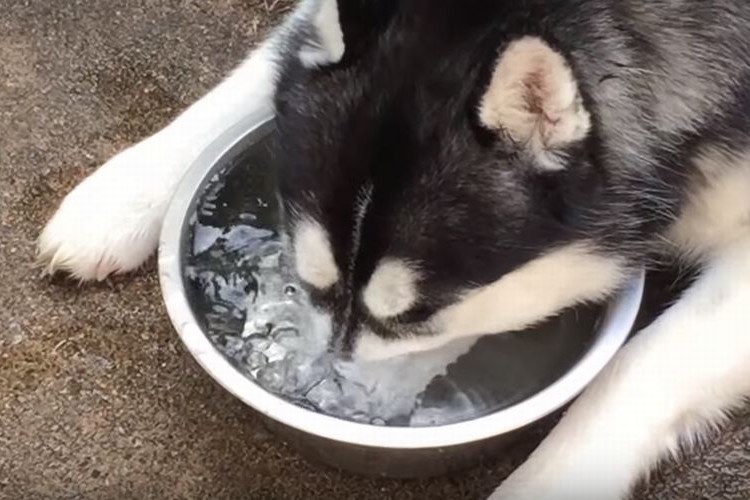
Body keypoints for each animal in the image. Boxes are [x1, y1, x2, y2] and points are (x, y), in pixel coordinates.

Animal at [39, 1, 750, 498]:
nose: (328, 400)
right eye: (312, 283)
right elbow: (269, 60)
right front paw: (124, 194)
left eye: (415, 315)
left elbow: (635, 370)